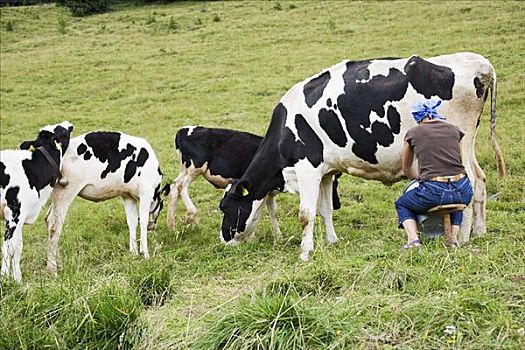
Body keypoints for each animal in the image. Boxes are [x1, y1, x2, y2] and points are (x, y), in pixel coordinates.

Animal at [1, 120, 73, 282]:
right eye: (61, 130)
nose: (69, 123)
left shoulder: (19, 218)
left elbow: (16, 246)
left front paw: (12, 278)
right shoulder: (14, 214)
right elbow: (11, 248)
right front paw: (11, 279)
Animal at [45, 131, 168, 276]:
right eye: (161, 208)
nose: (153, 227)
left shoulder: (127, 196)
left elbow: (132, 222)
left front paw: (133, 252)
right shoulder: (146, 192)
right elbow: (142, 221)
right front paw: (145, 254)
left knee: (48, 219)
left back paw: (59, 263)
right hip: (65, 191)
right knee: (54, 224)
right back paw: (52, 269)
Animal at [218, 51, 504, 260]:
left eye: (225, 207)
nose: (223, 239)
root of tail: (479, 63)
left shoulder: (307, 167)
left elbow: (306, 214)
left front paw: (305, 253)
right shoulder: (327, 171)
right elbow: (325, 210)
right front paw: (332, 241)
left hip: (458, 144)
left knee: (470, 183)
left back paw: (463, 237)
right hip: (469, 142)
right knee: (481, 179)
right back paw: (479, 232)